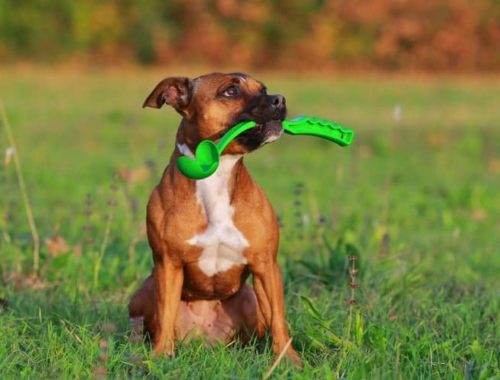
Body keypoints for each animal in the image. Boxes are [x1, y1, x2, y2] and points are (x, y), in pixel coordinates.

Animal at [129, 72, 300, 366]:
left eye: (263, 88)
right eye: (230, 91)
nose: (279, 99)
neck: (217, 172)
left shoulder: (265, 265)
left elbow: (278, 318)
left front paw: (288, 359)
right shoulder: (168, 264)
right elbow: (165, 313)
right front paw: (161, 355)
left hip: (250, 298)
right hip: (143, 292)